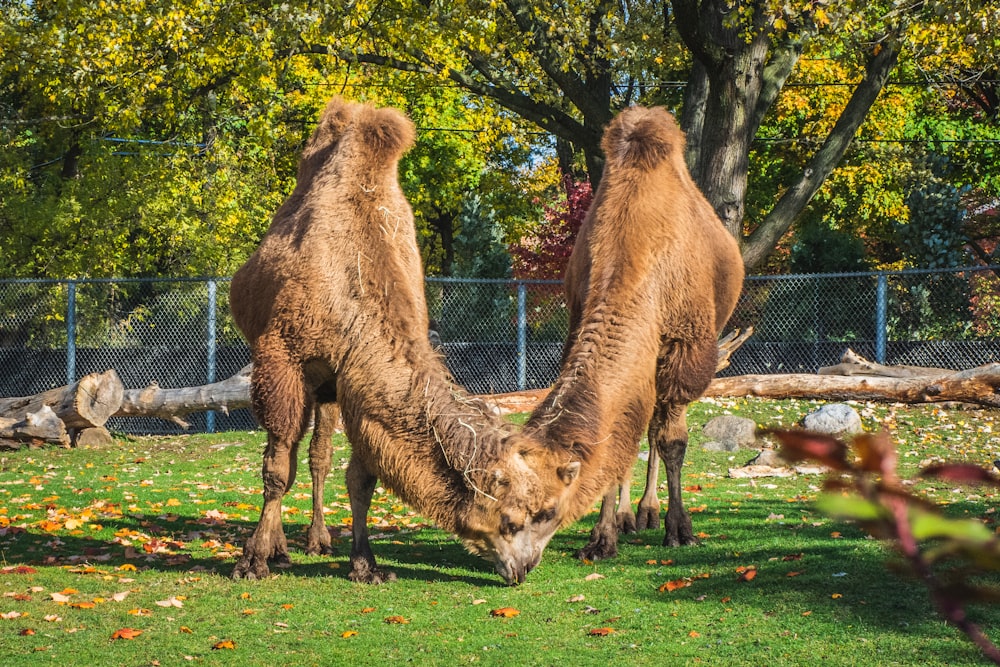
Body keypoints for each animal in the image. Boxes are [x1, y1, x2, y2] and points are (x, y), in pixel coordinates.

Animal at [228, 98, 580, 584]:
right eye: (512, 519)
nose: (523, 568)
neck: (351, 288)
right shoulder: (283, 358)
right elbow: (278, 468)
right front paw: (253, 561)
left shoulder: (355, 384)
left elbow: (360, 479)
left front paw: (366, 565)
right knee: (290, 453)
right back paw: (277, 550)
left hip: (327, 388)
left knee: (318, 455)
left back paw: (316, 540)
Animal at [524, 104, 744, 560]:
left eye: (548, 505)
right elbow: (621, 438)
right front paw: (601, 538)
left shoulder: (683, 349)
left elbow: (672, 440)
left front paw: (679, 529)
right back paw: (629, 517)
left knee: (658, 428)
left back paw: (649, 512)